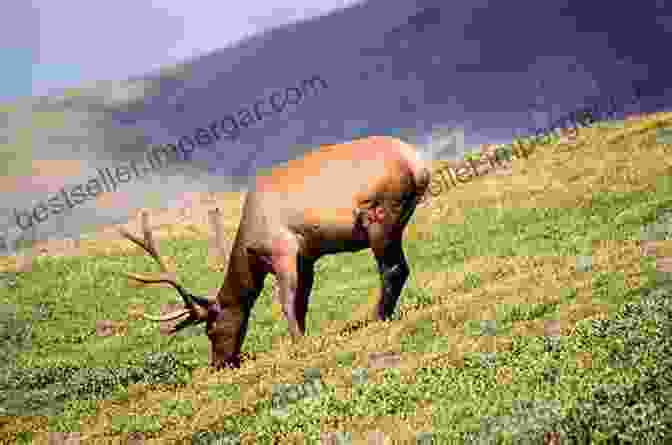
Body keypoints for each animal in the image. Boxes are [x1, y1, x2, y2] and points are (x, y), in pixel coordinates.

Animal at [120, 135, 430, 368]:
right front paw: (304, 334)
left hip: (378, 214)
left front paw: (297, 342)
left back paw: (379, 316)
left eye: (210, 330)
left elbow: (286, 300)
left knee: (393, 268)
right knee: (400, 267)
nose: (218, 364)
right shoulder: (307, 256)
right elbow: (302, 300)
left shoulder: (283, 250)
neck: (250, 250)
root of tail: (418, 164)